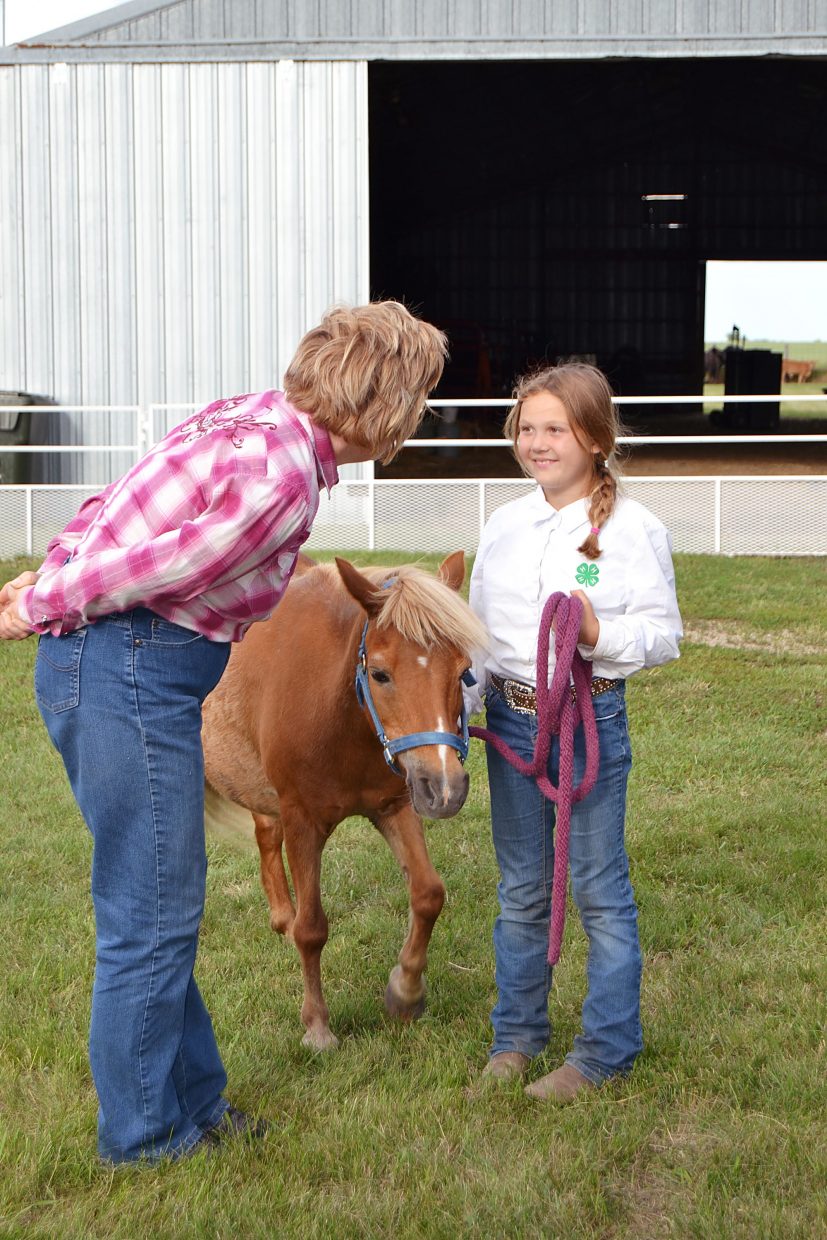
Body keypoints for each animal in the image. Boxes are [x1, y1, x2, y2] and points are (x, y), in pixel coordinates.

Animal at [201, 552, 487, 1050]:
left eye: (462, 670)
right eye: (380, 673)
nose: (445, 789)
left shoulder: (396, 806)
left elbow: (428, 894)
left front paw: (405, 991)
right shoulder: (303, 821)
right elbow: (312, 929)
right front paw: (317, 1025)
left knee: (265, 835)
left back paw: (280, 916)